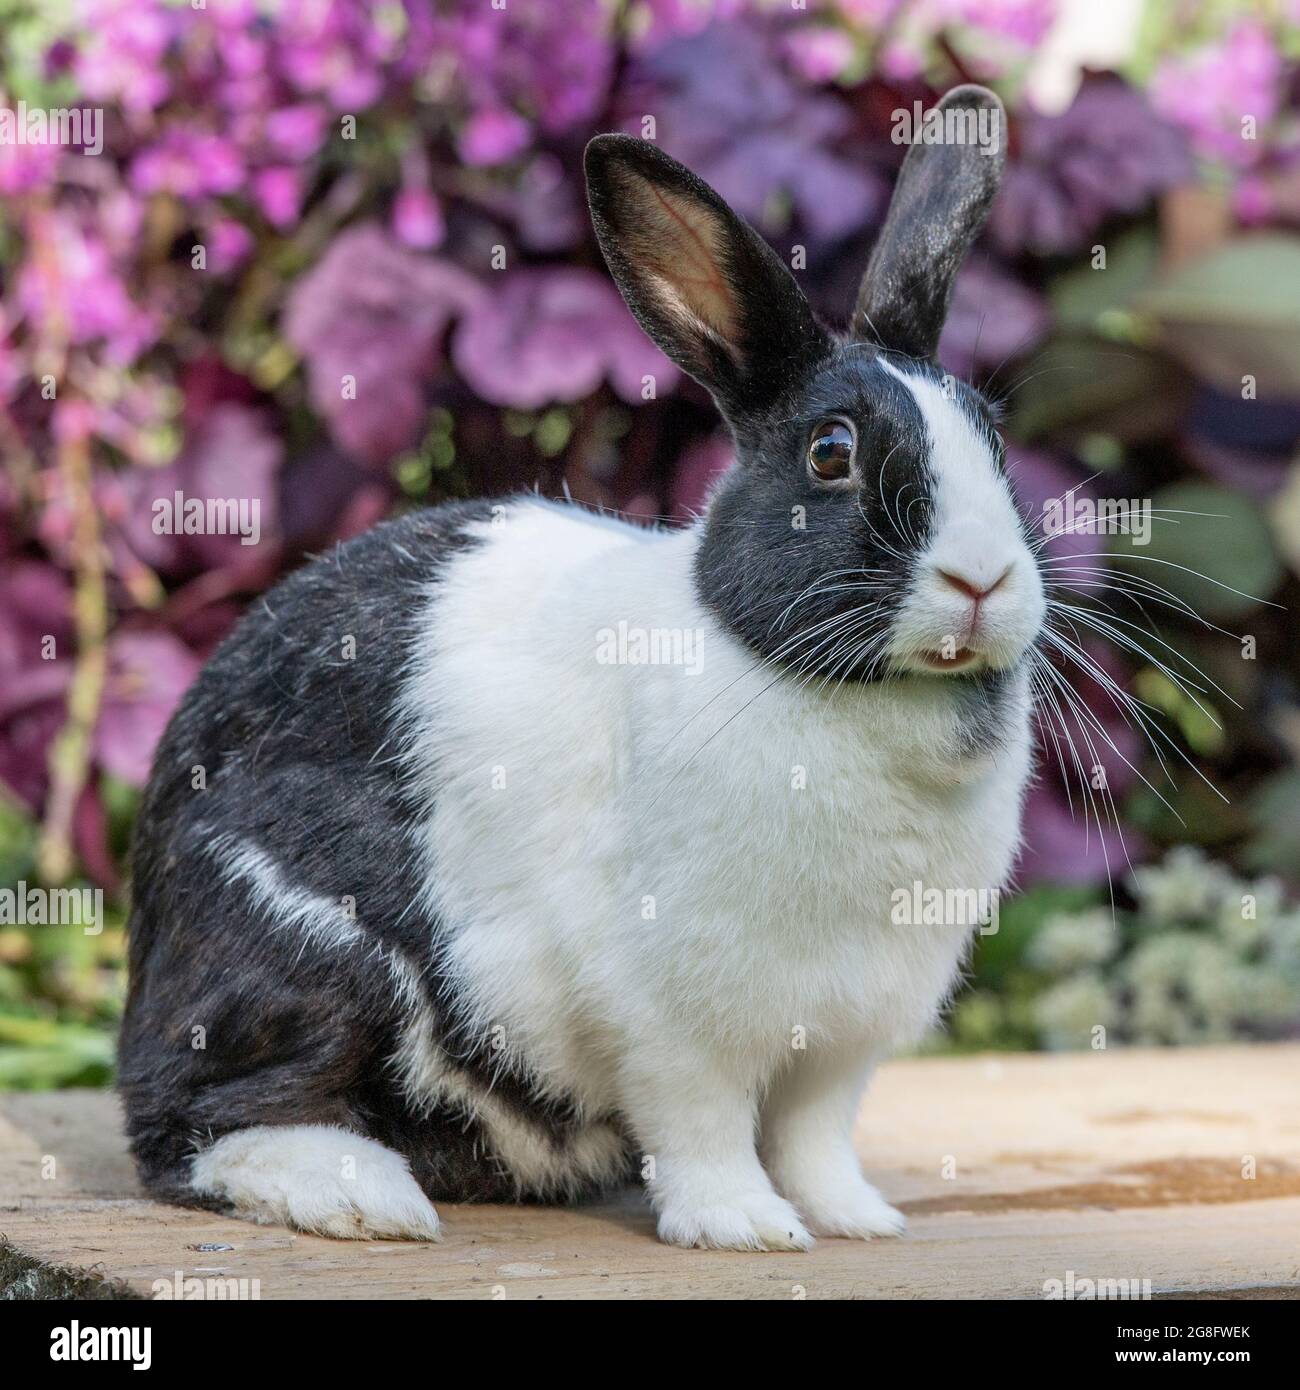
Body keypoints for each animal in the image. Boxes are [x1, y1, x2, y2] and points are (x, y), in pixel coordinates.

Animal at [119, 84, 1045, 1251]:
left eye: (995, 442)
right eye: (831, 453)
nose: (983, 578)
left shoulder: (843, 1038)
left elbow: (814, 1136)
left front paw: (854, 1220)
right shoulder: (671, 1014)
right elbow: (704, 1123)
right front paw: (743, 1228)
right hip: (297, 948)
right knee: (195, 1123)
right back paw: (356, 1193)